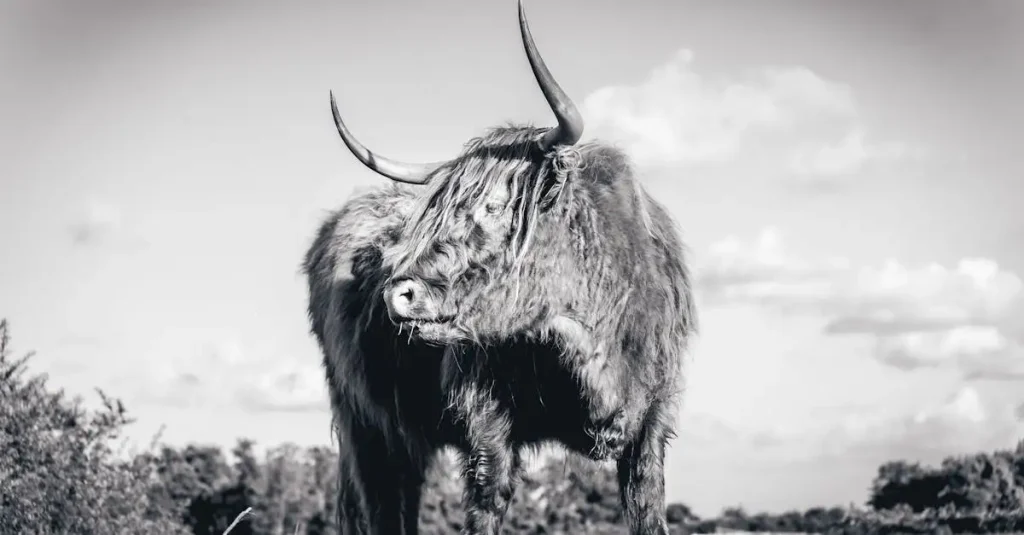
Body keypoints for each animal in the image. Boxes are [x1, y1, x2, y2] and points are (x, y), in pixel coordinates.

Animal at [302, 1, 698, 534]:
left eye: (494, 206)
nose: (399, 294)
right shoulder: (486, 423)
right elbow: (487, 505)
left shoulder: (652, 423)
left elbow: (648, 510)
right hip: (366, 426)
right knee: (385, 504)